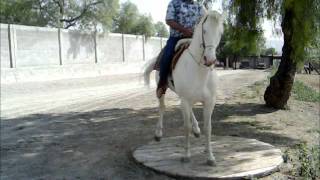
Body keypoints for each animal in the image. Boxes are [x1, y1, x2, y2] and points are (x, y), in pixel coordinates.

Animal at [144, 10, 224, 166]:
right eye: (204, 31)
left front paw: (210, 156)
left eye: (220, 32)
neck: (200, 71)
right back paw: (158, 134)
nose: (210, 60)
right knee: (162, 107)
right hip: (164, 91)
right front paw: (186, 155)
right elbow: (186, 127)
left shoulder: (209, 102)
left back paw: (196, 130)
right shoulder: (185, 100)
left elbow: (208, 128)